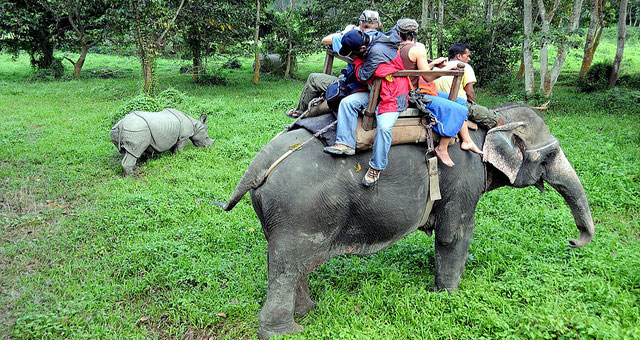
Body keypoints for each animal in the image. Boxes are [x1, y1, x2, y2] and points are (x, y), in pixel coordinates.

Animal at [214, 104, 596, 340]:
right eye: (550, 155)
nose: (574, 242)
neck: (492, 121)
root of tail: (259, 165)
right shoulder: (464, 178)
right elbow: (454, 234)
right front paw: (449, 296)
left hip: (283, 215)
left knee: (292, 266)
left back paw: (309, 310)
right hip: (300, 212)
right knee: (287, 267)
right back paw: (288, 332)